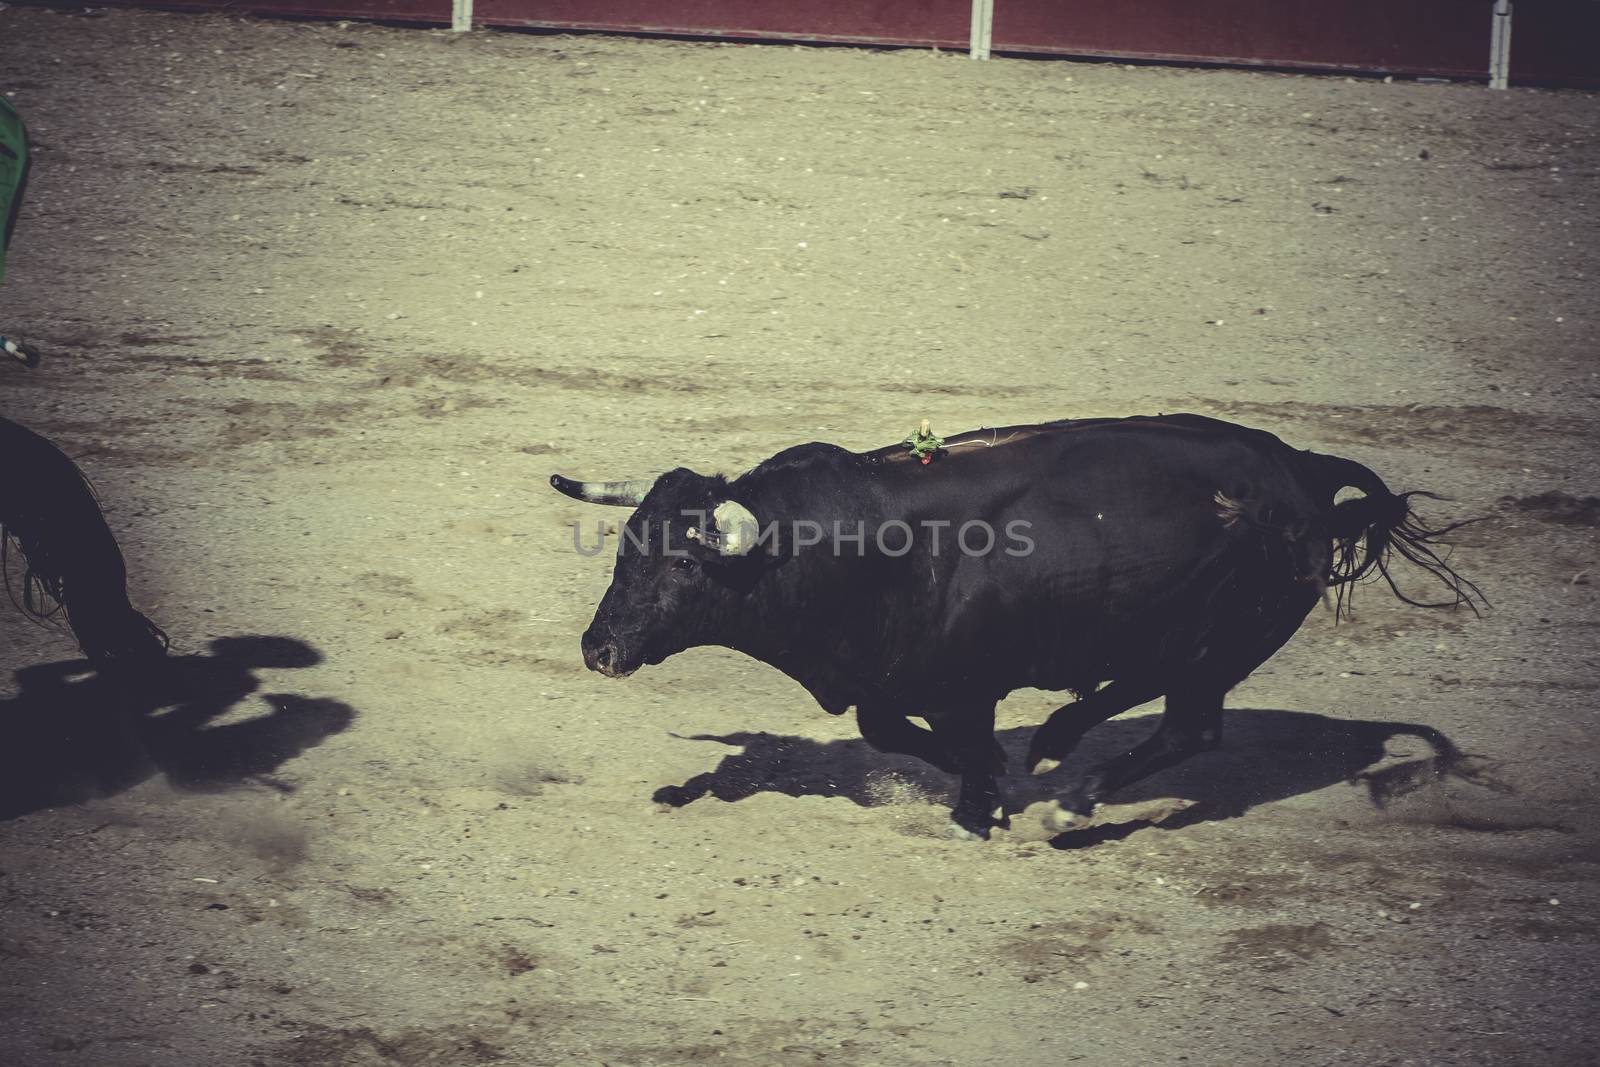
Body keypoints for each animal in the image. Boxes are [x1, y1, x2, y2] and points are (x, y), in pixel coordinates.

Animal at [556, 412, 1478, 838]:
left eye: (685, 564)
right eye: (624, 546)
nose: (599, 648)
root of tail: (1304, 471)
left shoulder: (965, 686)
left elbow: (957, 742)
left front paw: (980, 805)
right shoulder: (888, 681)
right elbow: (891, 728)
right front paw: (995, 780)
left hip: (1227, 637)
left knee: (1187, 724)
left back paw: (1076, 795)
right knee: (1154, 699)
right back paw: (1058, 743)